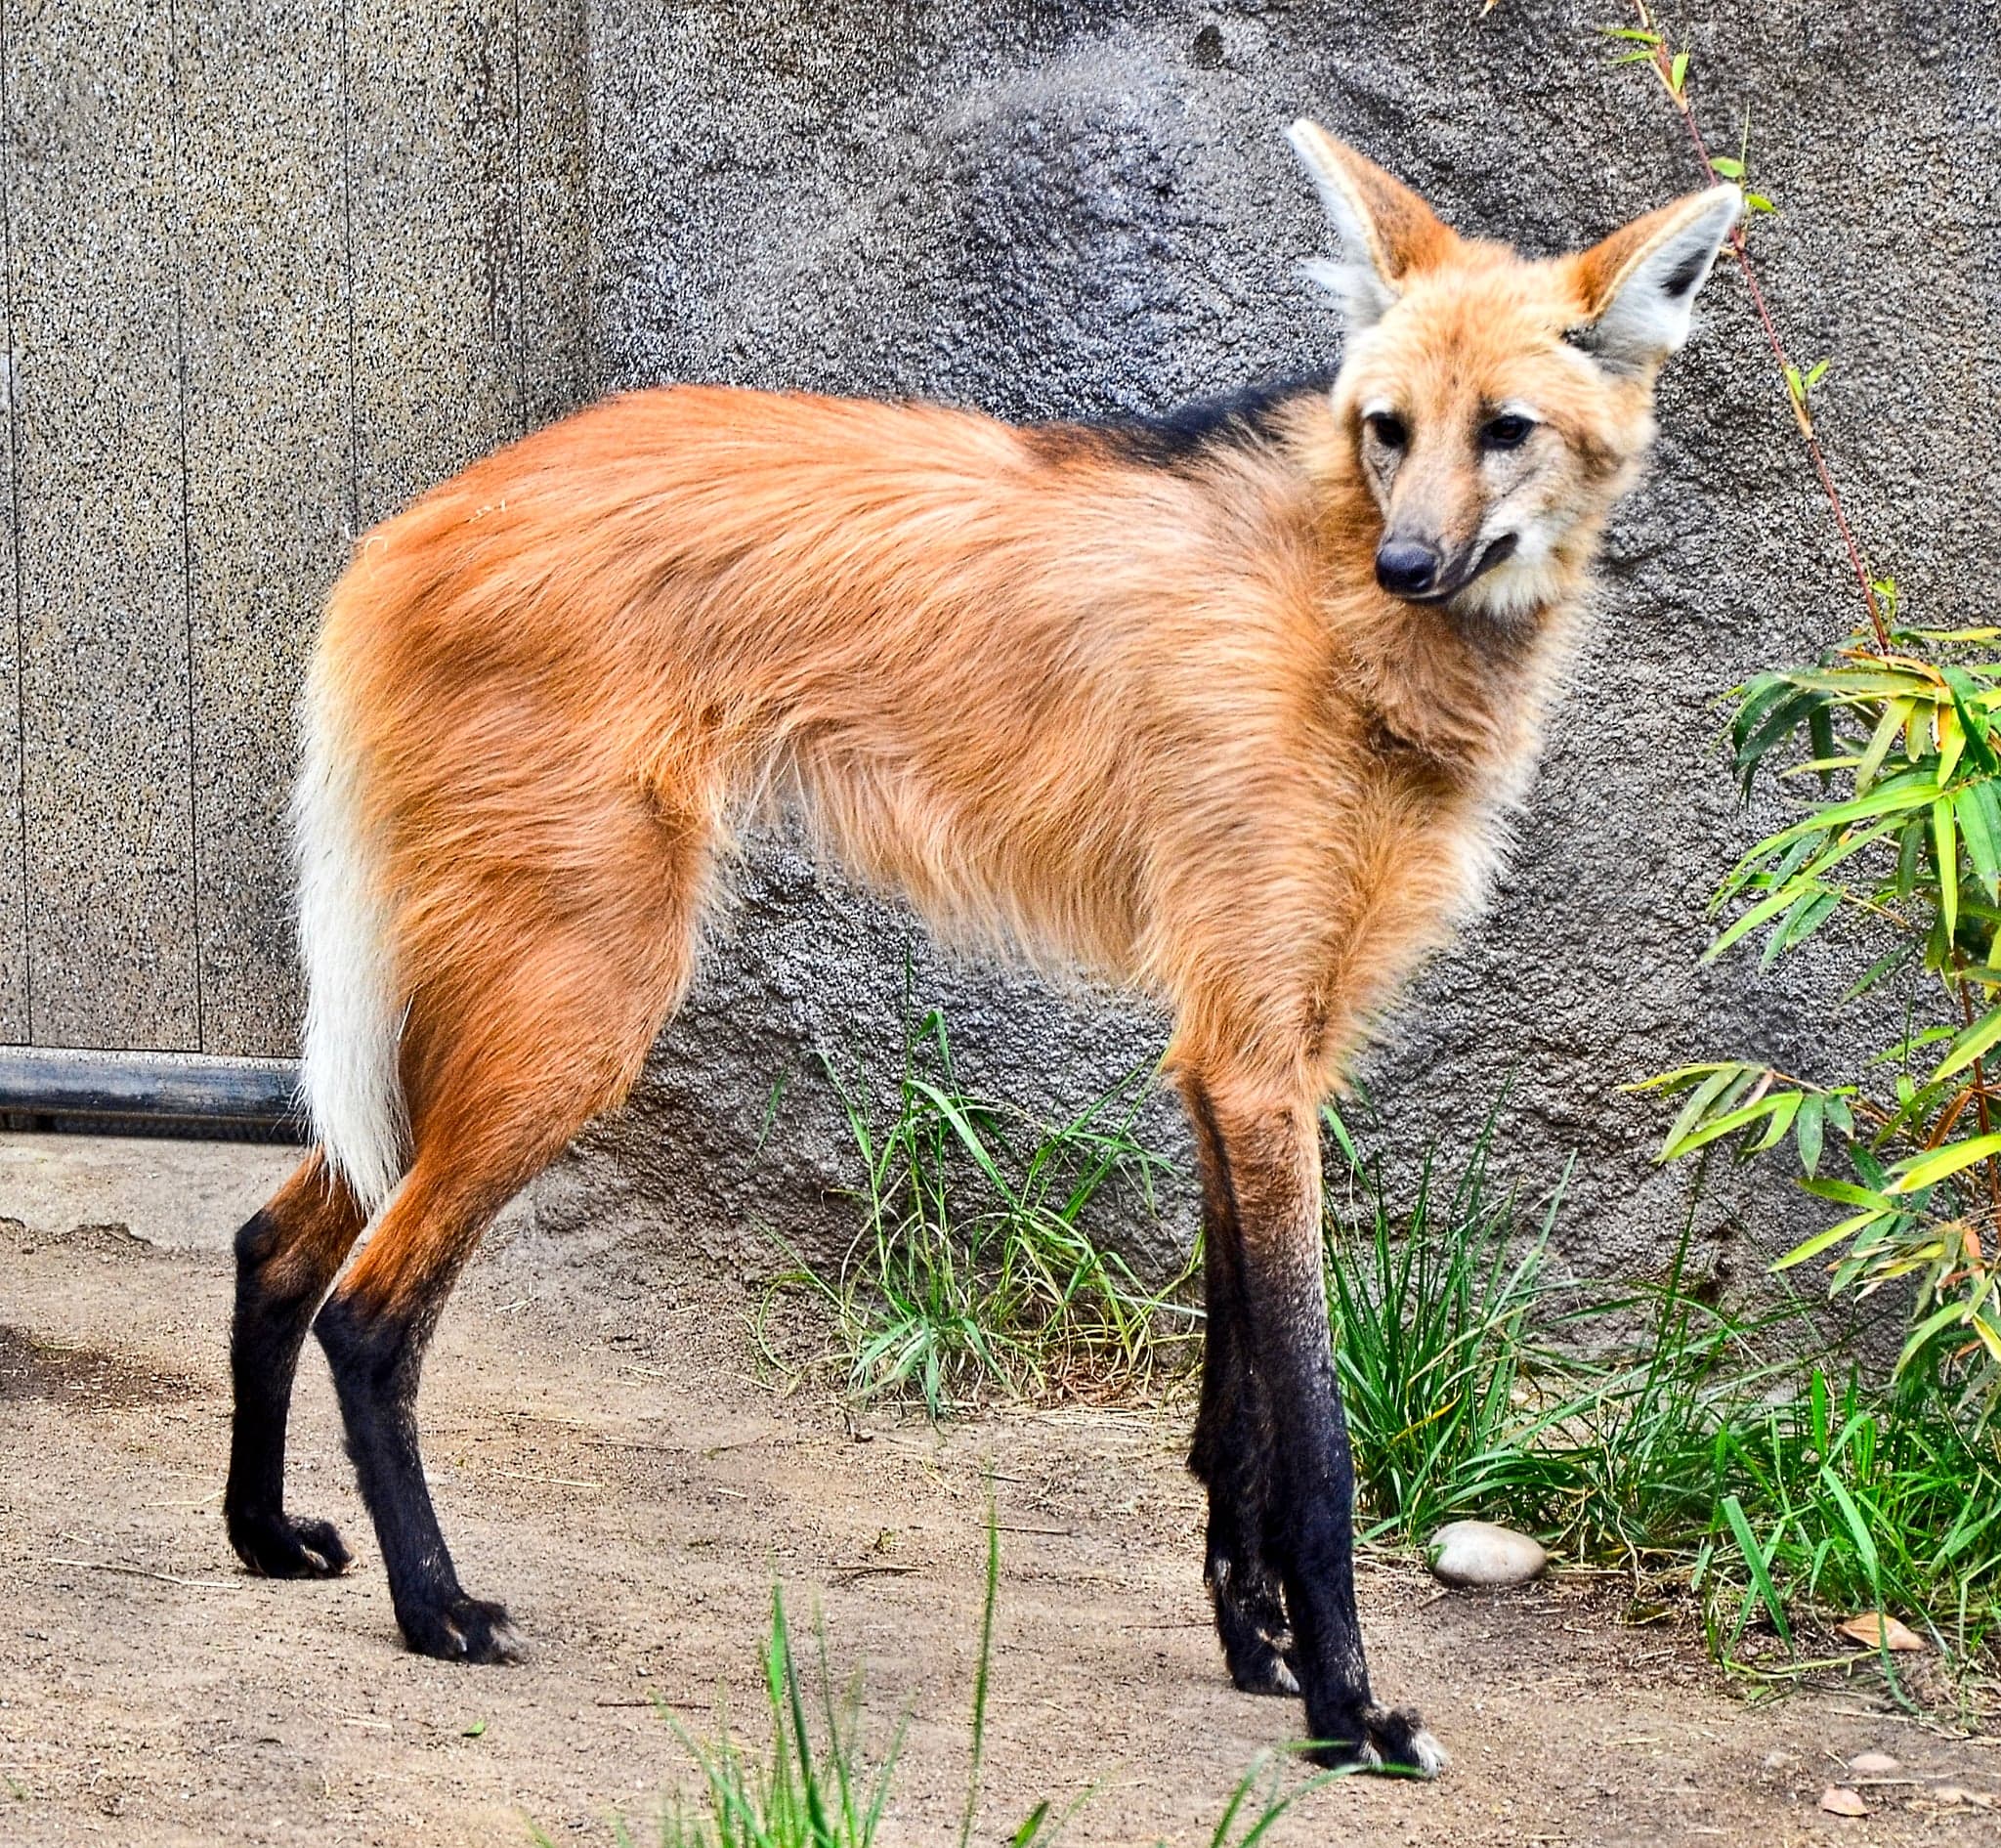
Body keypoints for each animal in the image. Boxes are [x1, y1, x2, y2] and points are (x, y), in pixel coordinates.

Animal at [222, 122, 1739, 1774]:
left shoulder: (1244, 1052)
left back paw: (263, 1533)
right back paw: (439, 1607)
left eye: (1506, 429)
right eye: (1388, 429)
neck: (1344, 614)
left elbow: (1235, 1408)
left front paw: (1256, 1646)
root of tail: (402, 526)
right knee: (372, 1309)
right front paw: (1348, 1706)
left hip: (479, 990)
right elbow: (1315, 1432)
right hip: (585, 996)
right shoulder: (1257, 1056)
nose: (1412, 559)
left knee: (277, 1241)